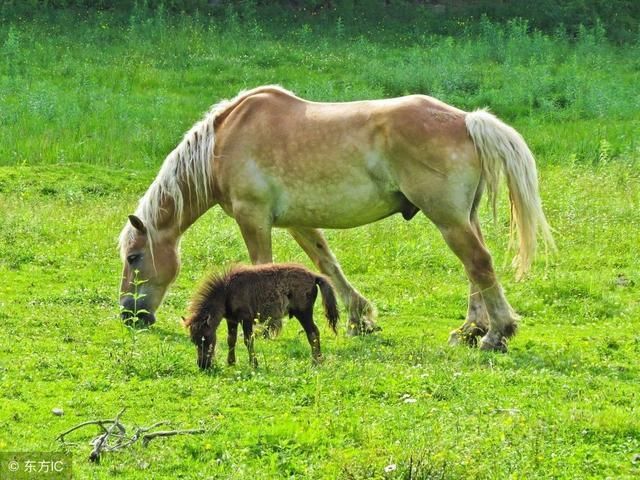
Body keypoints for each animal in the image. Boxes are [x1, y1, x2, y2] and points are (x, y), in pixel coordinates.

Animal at [120, 84, 556, 350]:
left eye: (134, 257)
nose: (129, 314)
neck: (222, 143)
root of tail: (467, 120)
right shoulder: (297, 221)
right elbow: (326, 262)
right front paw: (359, 317)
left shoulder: (253, 218)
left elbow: (262, 265)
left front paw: (266, 327)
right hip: (463, 219)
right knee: (474, 271)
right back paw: (470, 329)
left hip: (448, 219)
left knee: (479, 264)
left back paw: (496, 335)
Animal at [182, 264, 340, 370]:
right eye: (193, 340)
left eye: (205, 338)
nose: (202, 365)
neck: (227, 291)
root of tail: (314, 276)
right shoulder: (231, 320)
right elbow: (231, 340)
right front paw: (231, 362)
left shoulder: (245, 319)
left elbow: (248, 341)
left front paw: (254, 364)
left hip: (303, 313)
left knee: (312, 333)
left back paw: (315, 362)